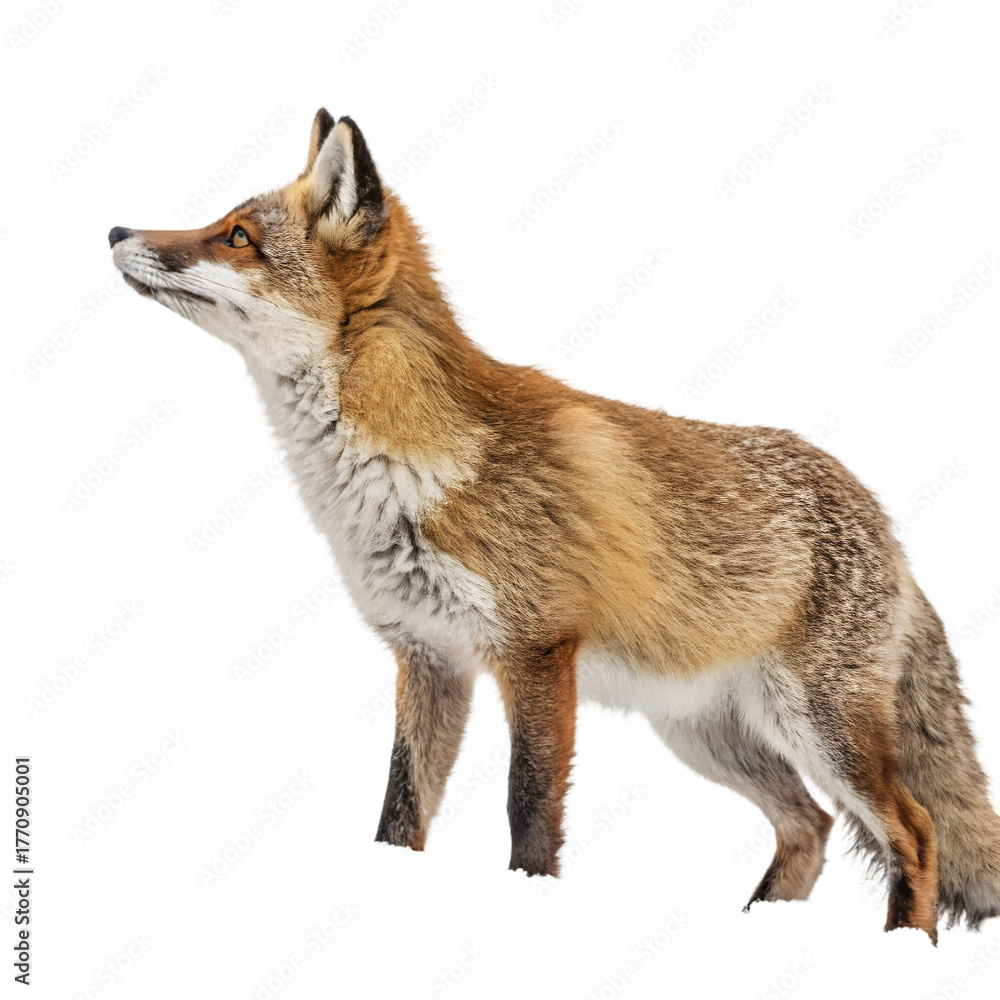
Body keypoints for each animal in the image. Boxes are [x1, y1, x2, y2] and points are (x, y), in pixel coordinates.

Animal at [109, 109, 1000, 943]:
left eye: (237, 237)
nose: (116, 230)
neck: (405, 469)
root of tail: (888, 523)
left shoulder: (536, 651)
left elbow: (527, 813)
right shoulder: (428, 656)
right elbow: (400, 816)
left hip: (816, 725)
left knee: (914, 830)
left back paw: (902, 947)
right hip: (707, 735)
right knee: (810, 828)